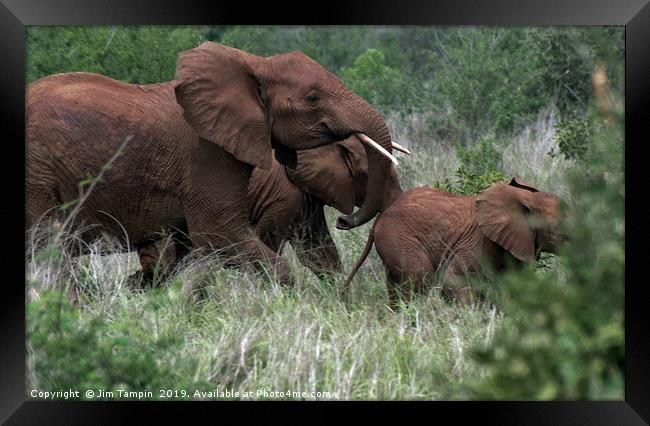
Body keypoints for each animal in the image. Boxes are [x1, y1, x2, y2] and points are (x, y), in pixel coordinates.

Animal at [25, 42, 398, 282]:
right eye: (313, 97)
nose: (346, 222)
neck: (254, 65)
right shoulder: (208, 155)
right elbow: (222, 236)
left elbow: (318, 254)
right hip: (37, 174)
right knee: (47, 248)